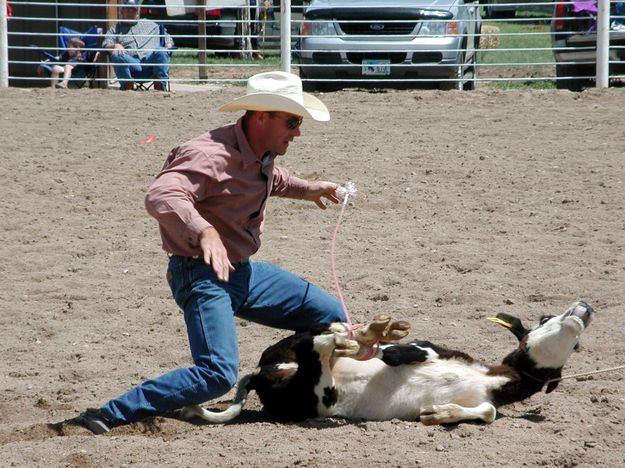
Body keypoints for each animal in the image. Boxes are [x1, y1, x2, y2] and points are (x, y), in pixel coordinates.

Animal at [182, 302, 596, 426]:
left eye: (577, 347)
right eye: (545, 318)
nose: (585, 308)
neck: (491, 380)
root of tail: (261, 374)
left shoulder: (484, 399)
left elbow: (489, 411)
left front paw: (440, 414)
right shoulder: (445, 351)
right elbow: (423, 349)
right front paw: (399, 352)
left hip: (313, 391)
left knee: (316, 347)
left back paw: (357, 336)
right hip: (305, 382)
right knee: (318, 343)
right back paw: (367, 334)